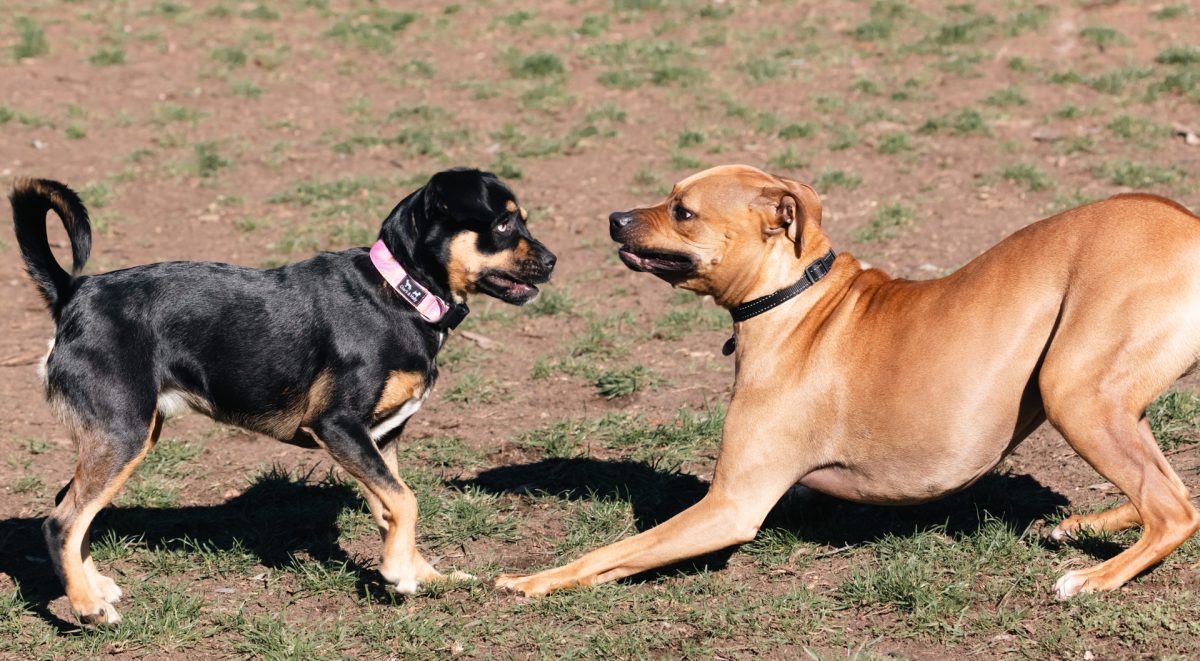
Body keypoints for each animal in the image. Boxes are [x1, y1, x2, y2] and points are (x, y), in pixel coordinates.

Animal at [9, 167, 554, 623]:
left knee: (69, 506)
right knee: (60, 521)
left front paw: (423, 573)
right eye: (504, 224)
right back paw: (86, 609)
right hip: (123, 433)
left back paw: (93, 587)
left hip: (125, 433)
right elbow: (406, 500)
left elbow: (391, 507)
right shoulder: (338, 426)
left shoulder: (383, 438)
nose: (552, 260)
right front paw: (400, 575)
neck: (402, 293)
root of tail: (73, 294)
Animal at [496, 164, 1200, 599]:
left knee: (1173, 510)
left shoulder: (731, 507)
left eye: (683, 210)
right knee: (1175, 491)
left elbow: (613, 552)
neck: (793, 298)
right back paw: (1076, 529)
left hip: (1074, 393)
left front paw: (531, 582)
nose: (614, 218)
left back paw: (1093, 579)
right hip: (1110, 404)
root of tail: (1186, 223)